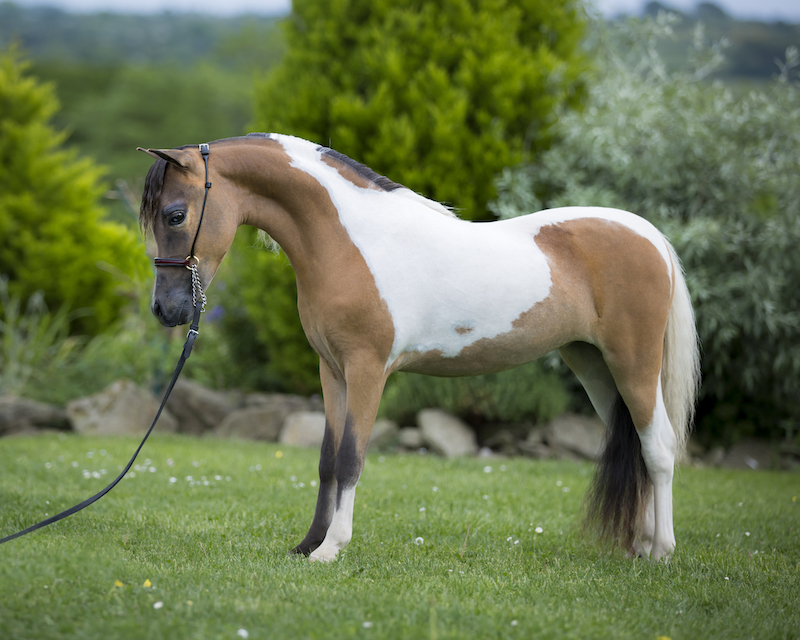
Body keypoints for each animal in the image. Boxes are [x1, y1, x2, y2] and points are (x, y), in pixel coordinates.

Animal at [138, 133, 700, 563]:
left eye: (175, 215)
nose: (166, 310)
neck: (351, 241)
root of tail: (649, 236)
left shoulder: (368, 369)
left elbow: (351, 457)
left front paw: (331, 549)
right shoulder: (331, 371)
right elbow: (326, 459)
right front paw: (308, 544)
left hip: (633, 363)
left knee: (658, 447)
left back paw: (660, 553)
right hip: (594, 366)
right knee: (638, 447)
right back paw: (639, 545)